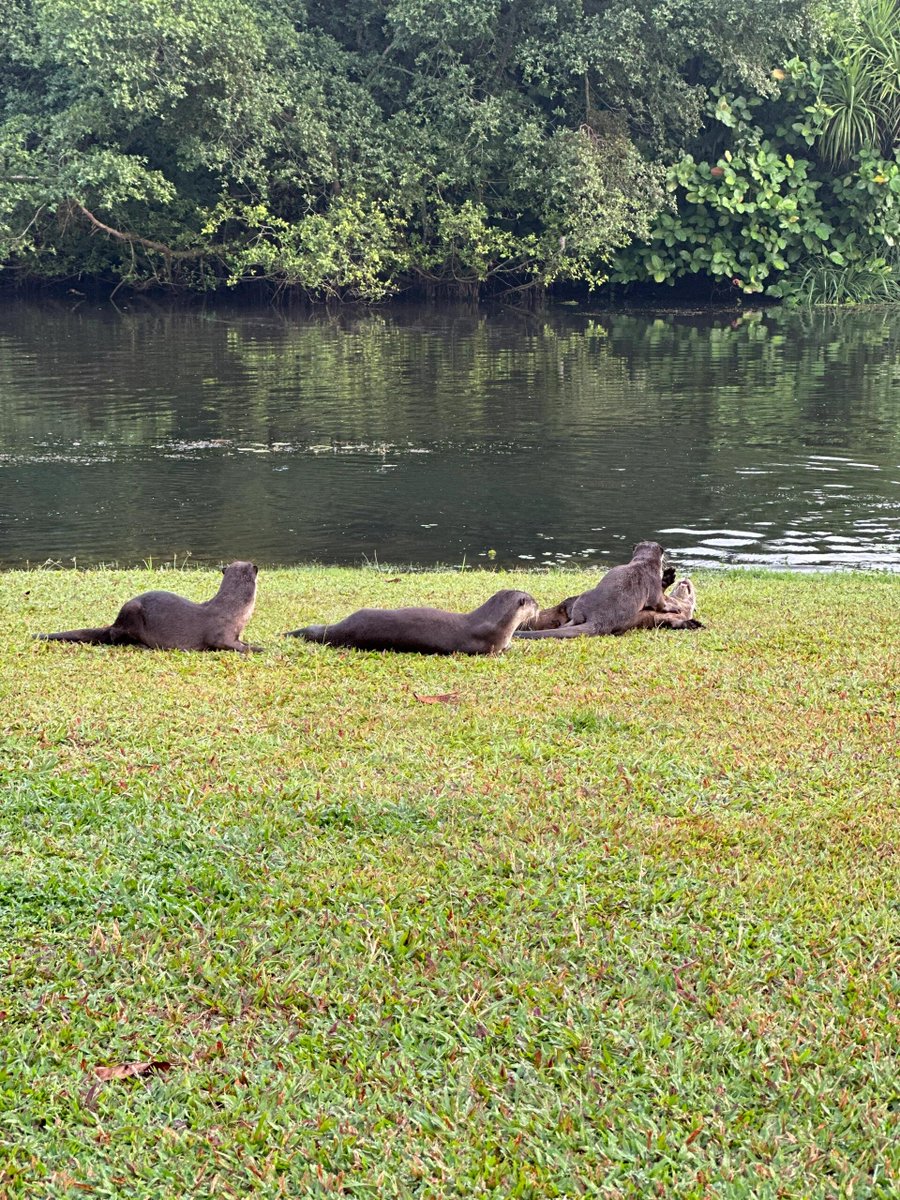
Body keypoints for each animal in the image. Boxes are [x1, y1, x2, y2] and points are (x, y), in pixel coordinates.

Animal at [36, 561, 261, 652]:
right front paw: (256, 649)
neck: (233, 610)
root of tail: (115, 621)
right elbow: (228, 645)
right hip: (132, 614)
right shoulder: (220, 634)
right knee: (117, 638)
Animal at [515, 541, 689, 640]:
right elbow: (660, 604)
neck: (644, 562)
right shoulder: (654, 587)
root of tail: (600, 618)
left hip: (584, 598)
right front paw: (674, 608)